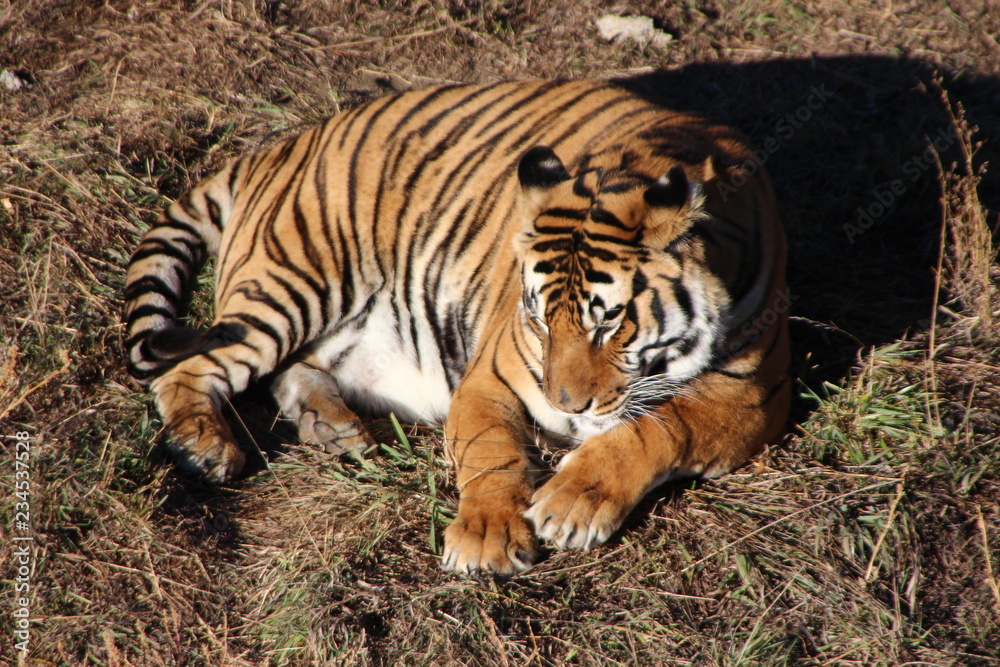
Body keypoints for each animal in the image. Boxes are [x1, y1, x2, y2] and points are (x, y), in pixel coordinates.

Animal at [124, 79, 791, 575]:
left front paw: (573, 502)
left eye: (609, 324)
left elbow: (653, 428)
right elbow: (491, 453)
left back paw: (331, 427)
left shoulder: (749, 399)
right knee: (184, 368)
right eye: (541, 318)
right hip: (293, 282)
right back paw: (205, 446)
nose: (565, 407)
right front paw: (487, 537)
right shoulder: (491, 377)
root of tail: (277, 147)